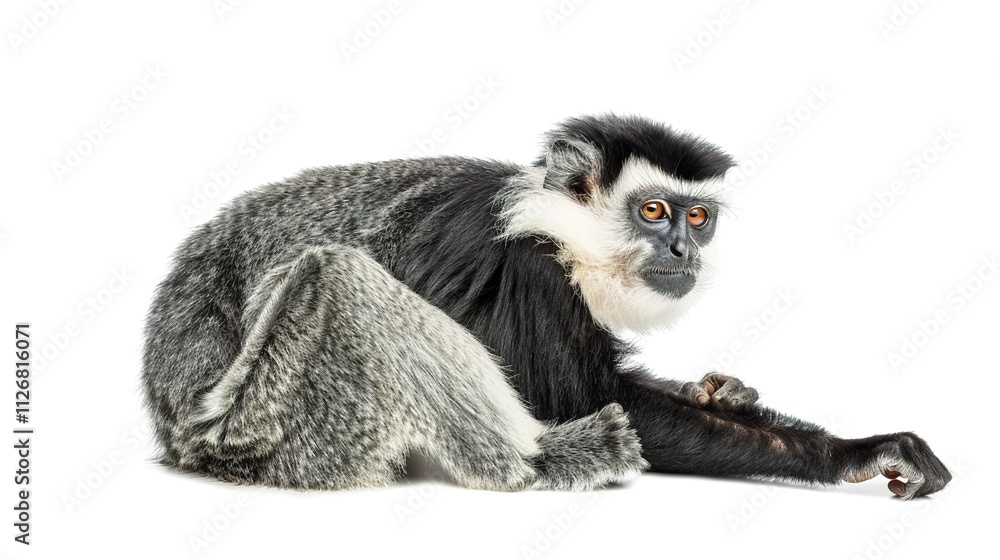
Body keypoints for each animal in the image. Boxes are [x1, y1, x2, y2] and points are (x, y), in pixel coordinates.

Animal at [141, 113, 951, 498]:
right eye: (654, 212)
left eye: (697, 218)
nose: (683, 249)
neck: (555, 227)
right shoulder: (522, 267)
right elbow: (581, 397)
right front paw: (850, 452)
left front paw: (725, 393)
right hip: (268, 422)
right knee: (339, 281)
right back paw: (544, 463)